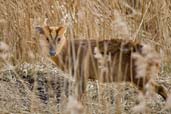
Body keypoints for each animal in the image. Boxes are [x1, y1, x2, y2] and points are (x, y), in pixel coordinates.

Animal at [35, 24, 168, 100]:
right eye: (46, 38)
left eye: (59, 38)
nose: (52, 52)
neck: (68, 50)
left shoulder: (81, 73)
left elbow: (80, 95)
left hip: (139, 76)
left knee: (160, 88)